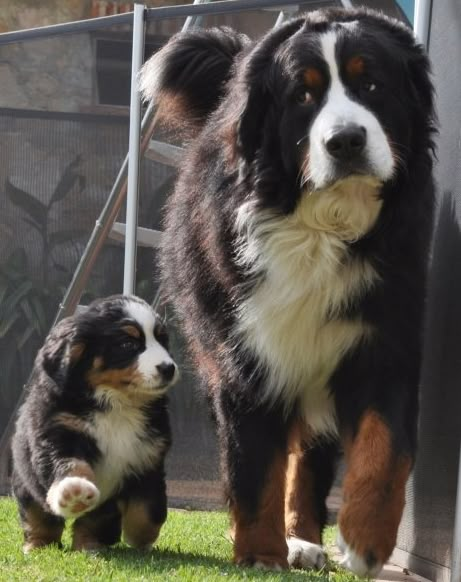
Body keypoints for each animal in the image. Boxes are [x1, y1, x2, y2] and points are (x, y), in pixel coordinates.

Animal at [12, 296, 178, 556]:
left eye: (162, 340)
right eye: (127, 344)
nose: (168, 368)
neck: (117, 404)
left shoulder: (148, 457)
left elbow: (150, 509)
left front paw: (140, 538)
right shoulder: (58, 435)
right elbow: (71, 465)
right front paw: (74, 492)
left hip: (105, 509)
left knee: (92, 523)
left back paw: (89, 547)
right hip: (25, 482)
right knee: (39, 518)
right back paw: (38, 545)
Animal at [140, 6, 434, 580]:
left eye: (372, 83)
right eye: (303, 94)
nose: (345, 140)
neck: (320, 226)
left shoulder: (383, 336)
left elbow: (384, 449)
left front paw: (365, 541)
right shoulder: (244, 352)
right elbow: (253, 465)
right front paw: (260, 552)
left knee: (308, 455)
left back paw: (305, 538)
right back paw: (292, 544)